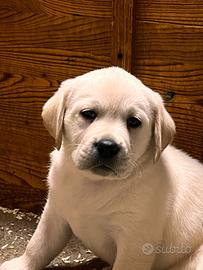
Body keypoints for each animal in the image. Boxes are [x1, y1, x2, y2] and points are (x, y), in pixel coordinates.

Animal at [0, 66, 202, 270]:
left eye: (134, 122)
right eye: (88, 113)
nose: (107, 146)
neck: (94, 183)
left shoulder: (135, 240)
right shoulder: (54, 212)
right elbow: (38, 245)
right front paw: (21, 264)